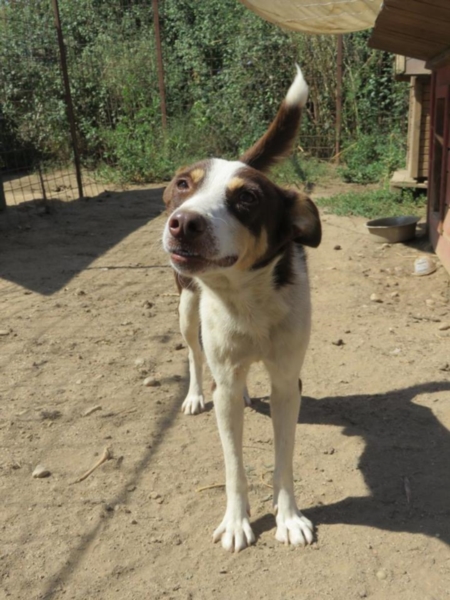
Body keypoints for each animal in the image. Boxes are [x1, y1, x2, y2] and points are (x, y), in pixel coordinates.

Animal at [162, 66, 321, 552]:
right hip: (186, 307)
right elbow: (234, 466)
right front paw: (236, 522)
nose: (183, 223)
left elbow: (284, 459)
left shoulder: (288, 382)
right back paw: (196, 394)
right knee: (195, 355)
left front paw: (289, 518)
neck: (246, 299)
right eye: (183, 184)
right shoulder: (227, 391)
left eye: (248, 198)